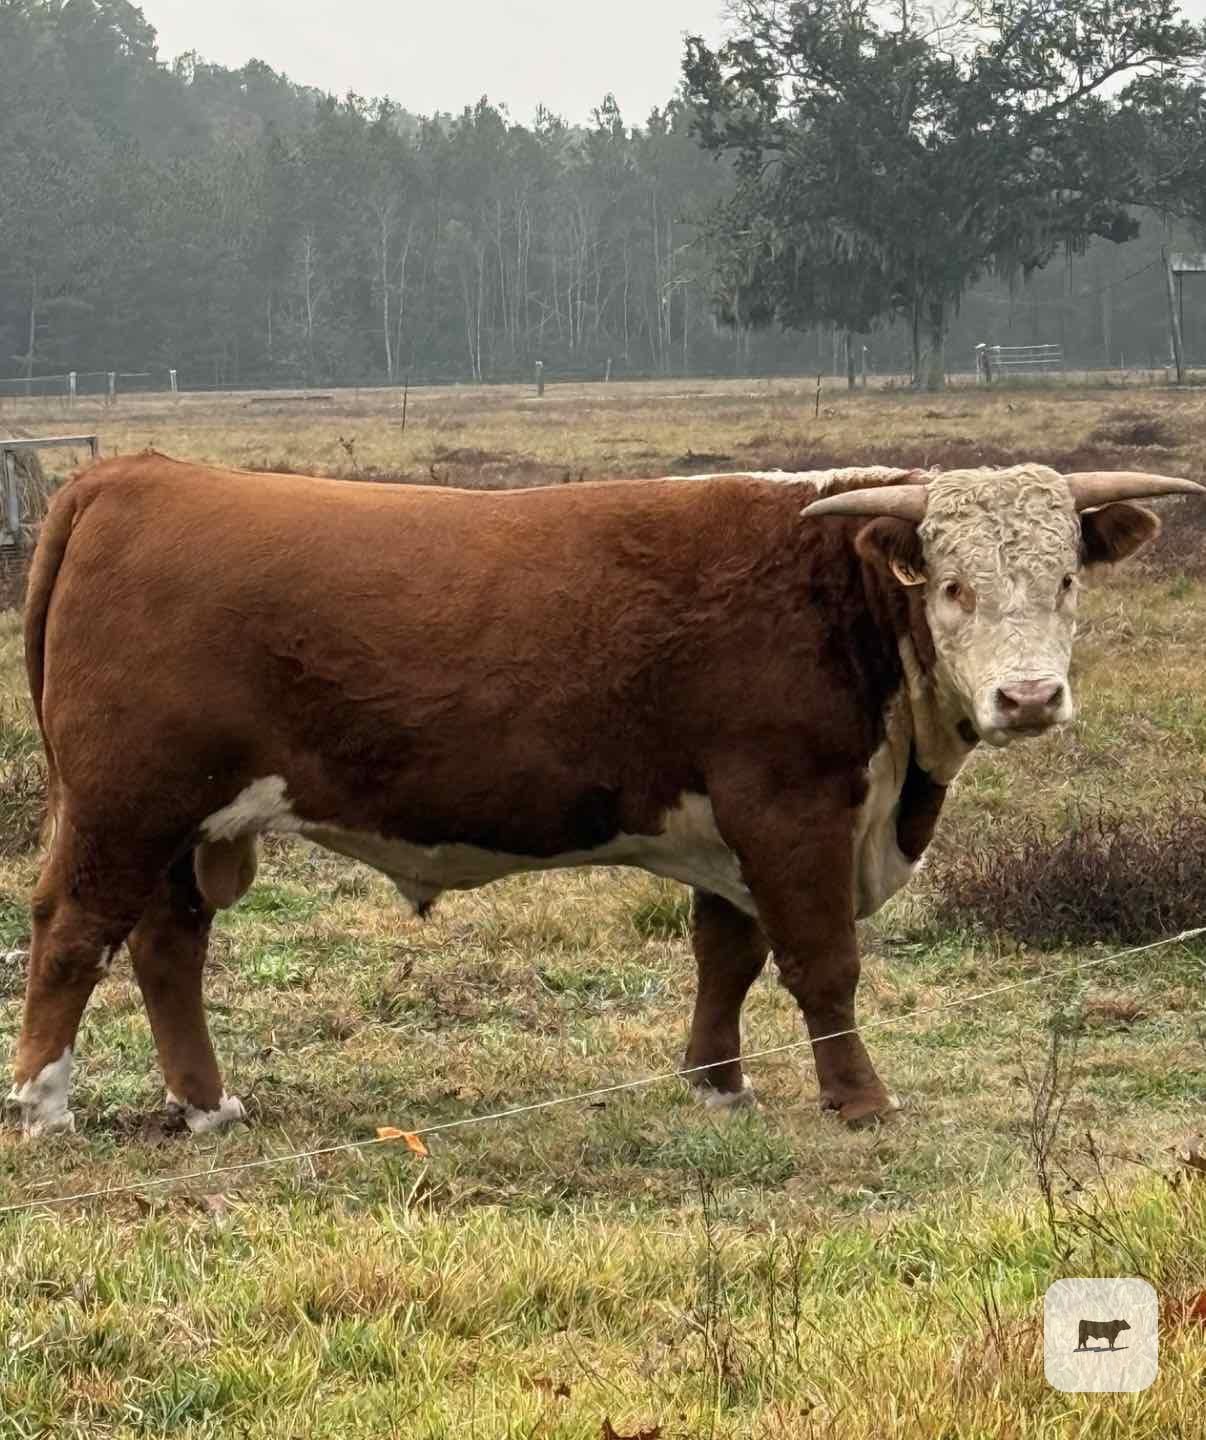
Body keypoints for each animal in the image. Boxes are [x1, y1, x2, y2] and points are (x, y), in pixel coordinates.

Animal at [4, 453, 1201, 1140]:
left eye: (1067, 579)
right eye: (952, 587)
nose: (1029, 697)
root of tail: (138, 474)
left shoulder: (727, 824)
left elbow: (729, 953)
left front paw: (718, 1082)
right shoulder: (791, 807)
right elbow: (823, 964)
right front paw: (859, 1100)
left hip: (183, 824)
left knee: (167, 946)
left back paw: (205, 1105)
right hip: (124, 805)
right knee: (72, 932)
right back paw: (45, 1106)